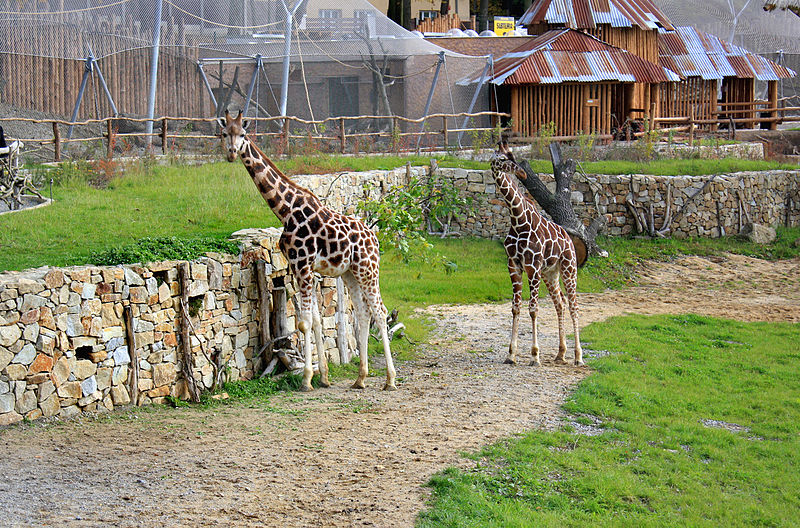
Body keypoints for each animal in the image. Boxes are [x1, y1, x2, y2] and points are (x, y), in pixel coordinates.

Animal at [219, 110, 396, 392]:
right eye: (224, 133)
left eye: (243, 134)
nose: (232, 153)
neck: (285, 210)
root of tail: (374, 238)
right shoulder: (298, 266)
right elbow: (315, 320)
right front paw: (322, 376)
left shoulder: (303, 264)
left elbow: (303, 322)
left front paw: (306, 379)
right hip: (350, 272)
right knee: (363, 313)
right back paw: (360, 378)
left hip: (368, 269)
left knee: (379, 311)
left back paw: (390, 380)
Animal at [488, 142, 580, 370]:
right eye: (502, 159)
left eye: (513, 156)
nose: (522, 173)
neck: (518, 219)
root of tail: (569, 238)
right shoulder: (514, 265)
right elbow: (515, 308)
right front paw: (511, 354)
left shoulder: (533, 267)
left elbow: (533, 309)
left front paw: (534, 356)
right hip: (551, 273)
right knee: (560, 303)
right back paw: (560, 354)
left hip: (569, 268)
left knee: (573, 306)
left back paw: (578, 357)